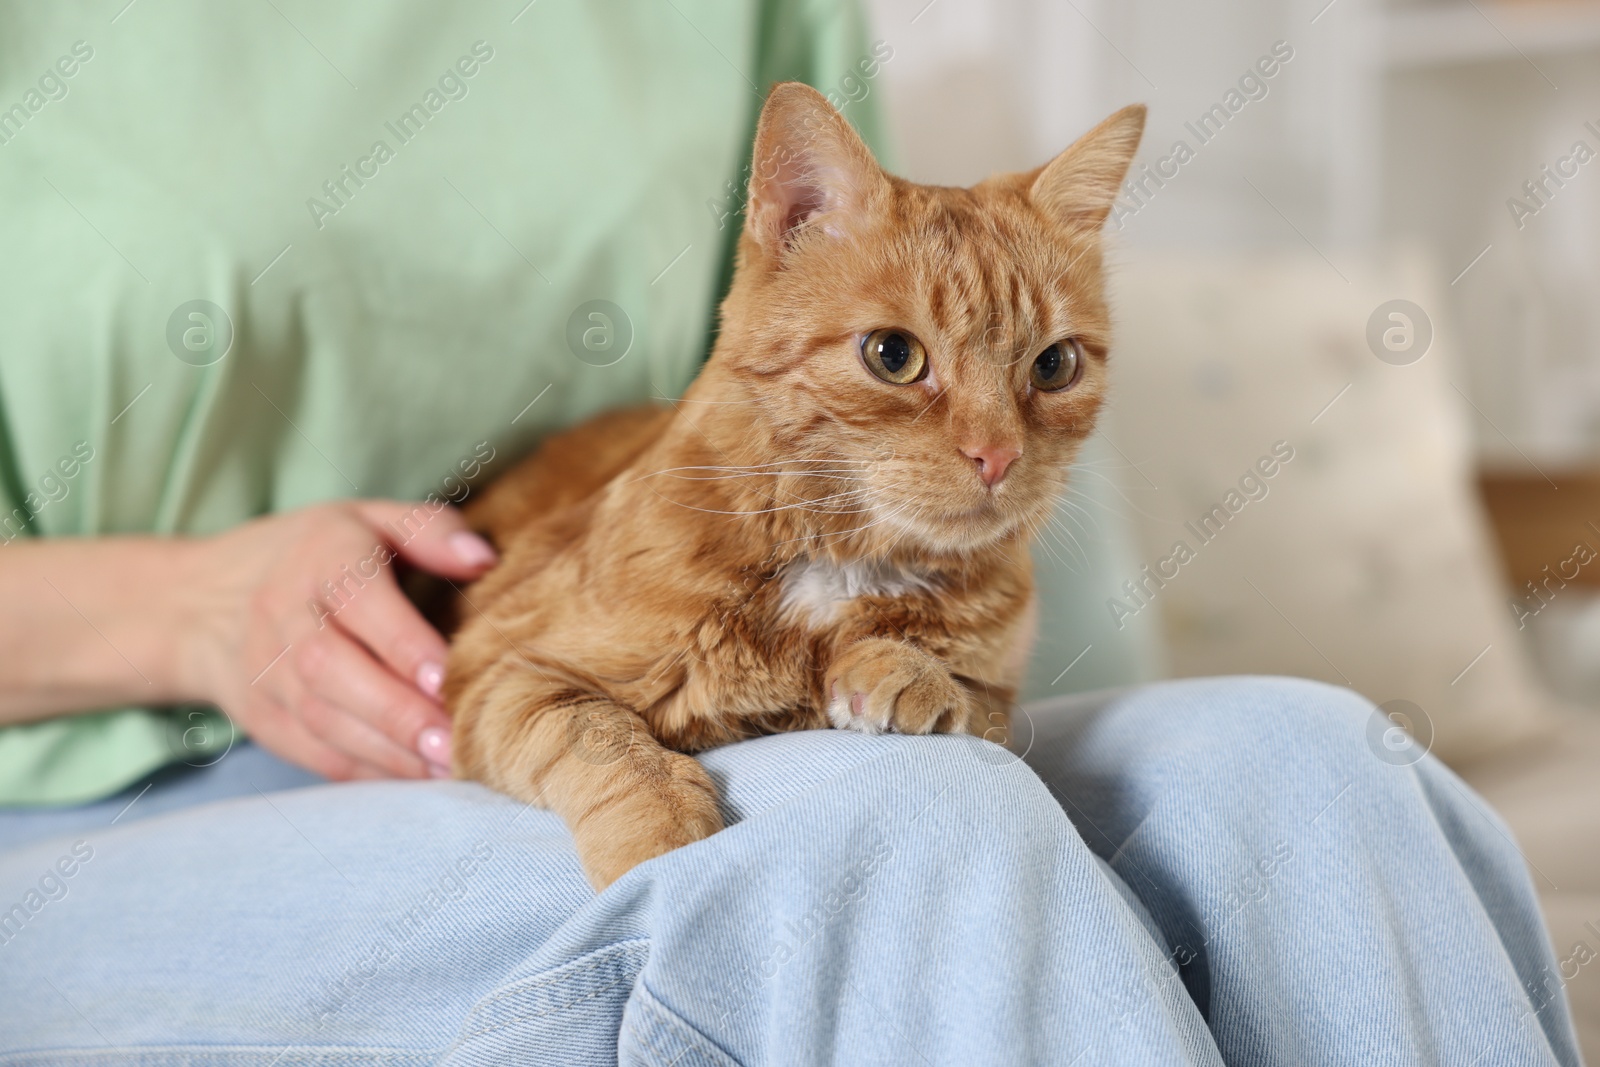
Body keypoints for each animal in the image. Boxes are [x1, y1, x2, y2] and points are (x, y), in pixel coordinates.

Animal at [448, 83, 1152, 889]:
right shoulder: (496, 672)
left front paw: (898, 669)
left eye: (1054, 366)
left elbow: (967, 695)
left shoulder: (1003, 699)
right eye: (893, 355)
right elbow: (601, 735)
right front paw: (660, 838)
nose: (998, 455)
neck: (837, 569)